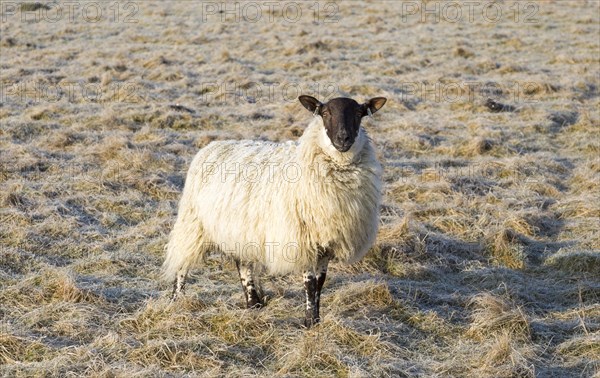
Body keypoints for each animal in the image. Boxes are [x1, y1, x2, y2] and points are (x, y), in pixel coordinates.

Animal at [164, 95, 386, 328]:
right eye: (325, 113)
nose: (343, 139)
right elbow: (310, 283)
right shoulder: (302, 239)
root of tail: (214, 144)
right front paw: (309, 322)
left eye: (359, 113)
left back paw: (253, 304)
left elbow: (320, 282)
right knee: (182, 264)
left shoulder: (326, 242)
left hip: (240, 229)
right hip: (193, 222)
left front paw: (316, 319)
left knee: (243, 264)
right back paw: (176, 301)